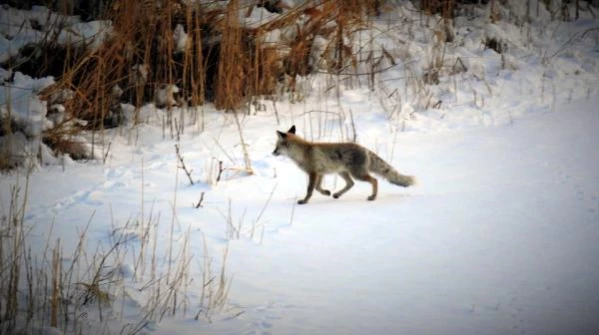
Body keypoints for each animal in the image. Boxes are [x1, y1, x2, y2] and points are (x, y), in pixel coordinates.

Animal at [274, 125, 418, 205]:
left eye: (276, 147)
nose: (272, 153)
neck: (303, 152)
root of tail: (364, 148)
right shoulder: (320, 173)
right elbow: (318, 188)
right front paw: (326, 192)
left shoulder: (313, 173)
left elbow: (310, 189)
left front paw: (304, 201)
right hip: (343, 173)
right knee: (351, 184)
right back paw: (337, 194)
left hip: (357, 174)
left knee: (374, 180)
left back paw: (373, 197)